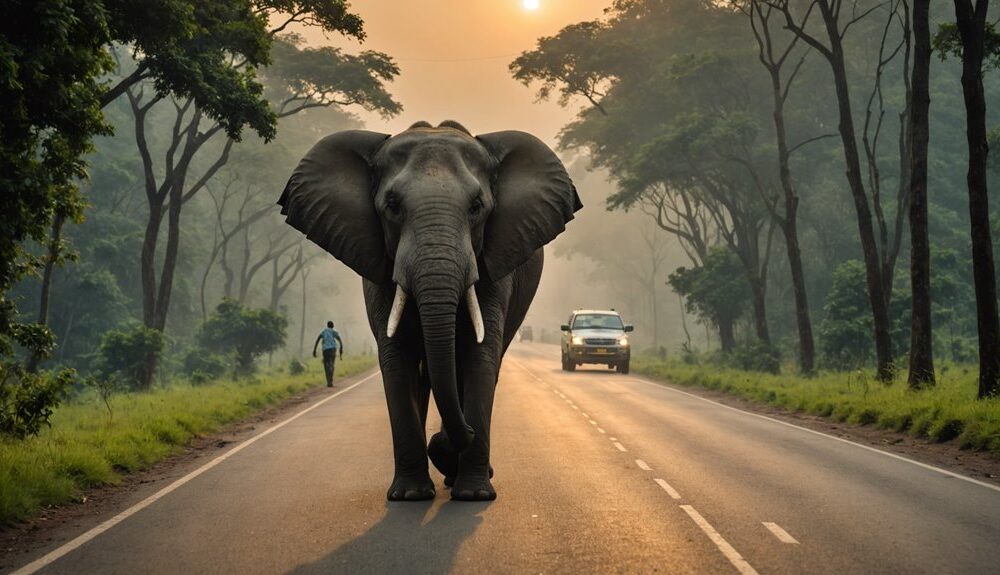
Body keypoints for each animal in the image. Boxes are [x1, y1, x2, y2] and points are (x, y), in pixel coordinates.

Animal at [278, 120, 584, 500]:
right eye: (392, 205)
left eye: (477, 206)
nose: (443, 442)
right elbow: (397, 357)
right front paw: (411, 494)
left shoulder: (495, 266)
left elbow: (480, 355)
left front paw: (473, 494)